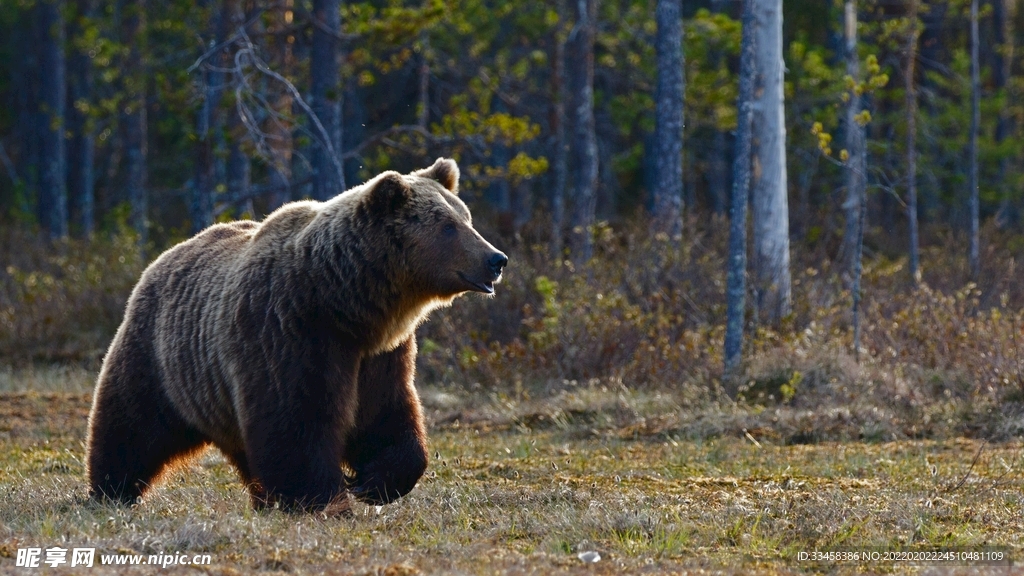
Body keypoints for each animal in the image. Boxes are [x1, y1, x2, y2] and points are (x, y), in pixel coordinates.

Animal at [83, 156, 507, 510]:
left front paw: (373, 481)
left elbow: (386, 414)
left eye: (467, 219)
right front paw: (323, 498)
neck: (346, 303)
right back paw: (111, 490)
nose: (496, 259)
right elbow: (297, 422)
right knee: (131, 424)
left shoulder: (380, 354)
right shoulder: (289, 332)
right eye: (448, 226)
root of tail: (164, 256)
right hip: (160, 356)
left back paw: (261, 499)